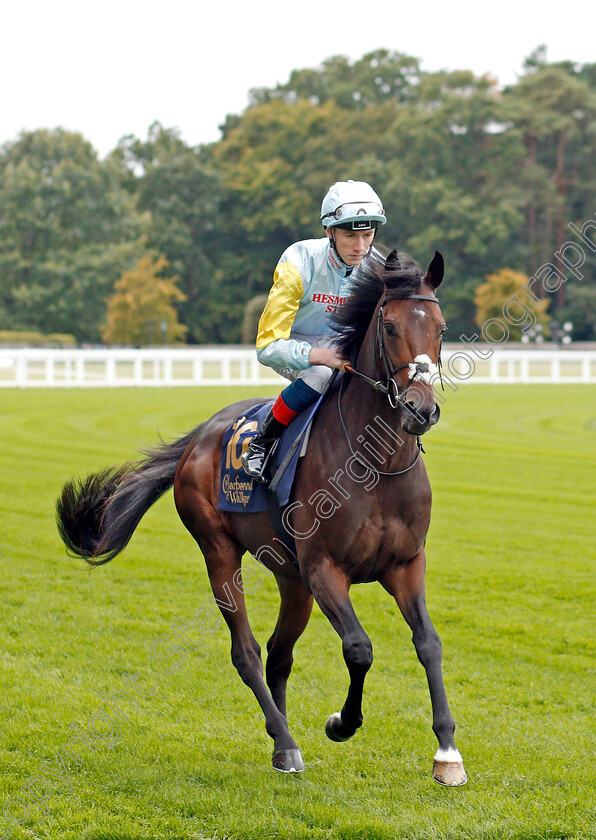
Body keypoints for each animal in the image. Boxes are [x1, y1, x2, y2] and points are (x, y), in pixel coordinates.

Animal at [54, 248, 466, 788]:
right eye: (392, 326)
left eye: (440, 328)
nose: (421, 409)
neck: (375, 463)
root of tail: (198, 437)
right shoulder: (325, 569)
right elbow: (359, 648)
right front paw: (342, 721)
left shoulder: (405, 564)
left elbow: (429, 643)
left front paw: (447, 752)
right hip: (220, 551)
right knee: (247, 651)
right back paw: (286, 744)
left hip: (293, 580)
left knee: (278, 652)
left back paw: (281, 740)